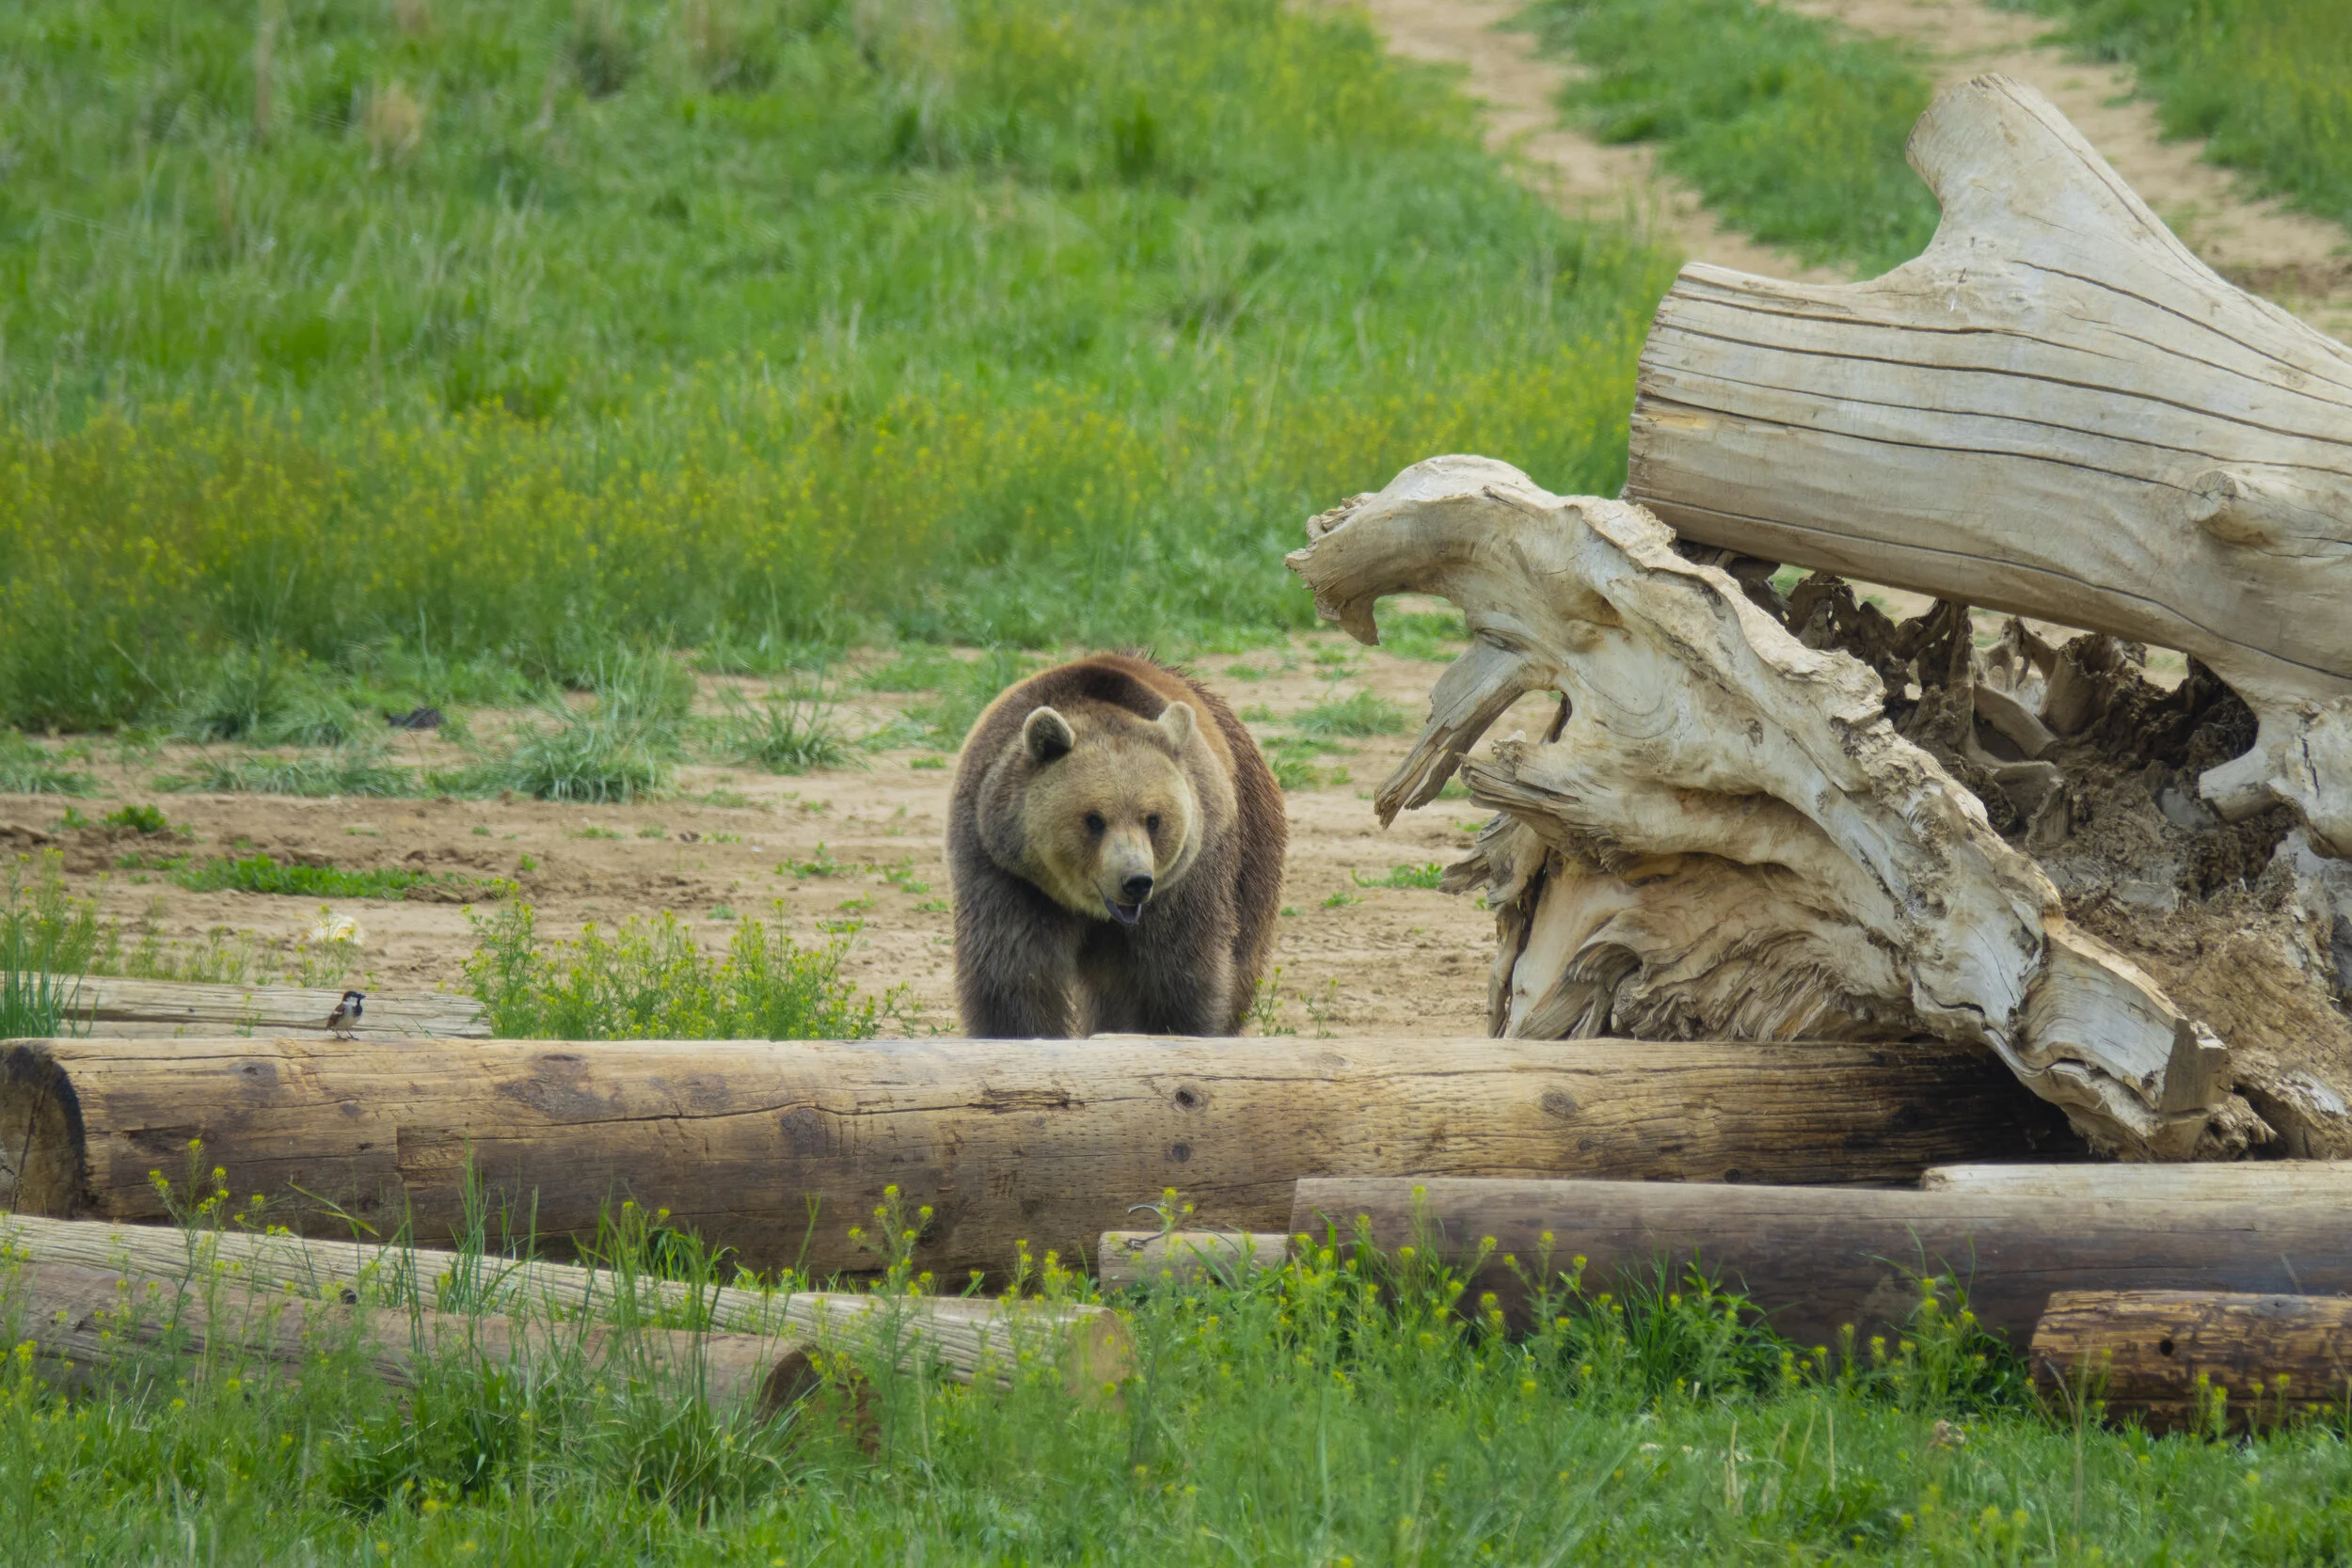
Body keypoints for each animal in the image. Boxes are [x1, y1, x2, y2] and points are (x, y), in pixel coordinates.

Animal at [947, 653, 1286, 1038]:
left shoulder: (1184, 882)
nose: (1136, 881)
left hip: (1251, 845)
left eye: (1153, 819)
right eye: (1094, 819)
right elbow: (1014, 971)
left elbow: (1172, 974)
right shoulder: (1004, 869)